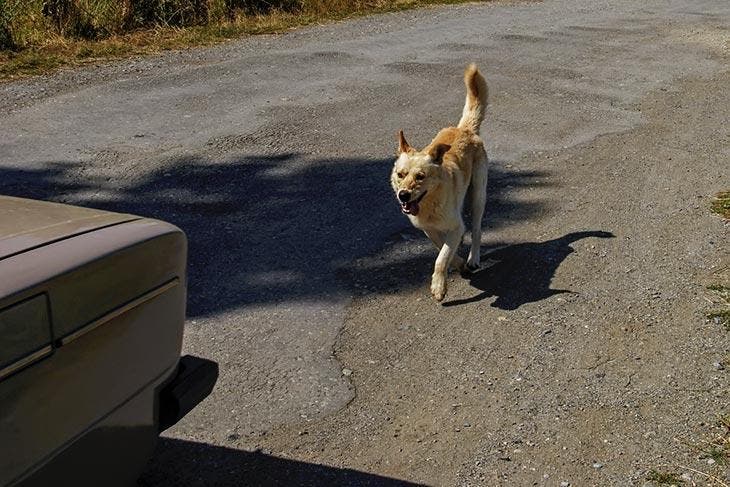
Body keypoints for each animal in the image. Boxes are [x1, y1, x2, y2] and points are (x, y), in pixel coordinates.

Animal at [390, 63, 486, 302]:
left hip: (478, 195)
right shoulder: (428, 230)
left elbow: (441, 258)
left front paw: (439, 286)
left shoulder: (455, 225)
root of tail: (465, 129)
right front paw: (457, 264)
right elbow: (442, 248)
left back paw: (473, 258)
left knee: (477, 229)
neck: (429, 204)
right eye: (401, 174)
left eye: (420, 176)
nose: (403, 195)